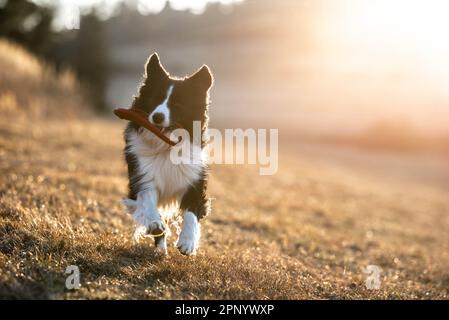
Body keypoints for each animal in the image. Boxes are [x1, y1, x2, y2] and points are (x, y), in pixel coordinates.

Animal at [121, 53, 213, 256]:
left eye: (178, 104)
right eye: (155, 99)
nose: (157, 117)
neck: (166, 145)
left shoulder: (194, 180)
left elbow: (191, 213)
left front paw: (188, 242)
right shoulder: (142, 177)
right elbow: (148, 204)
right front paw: (155, 224)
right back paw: (160, 247)